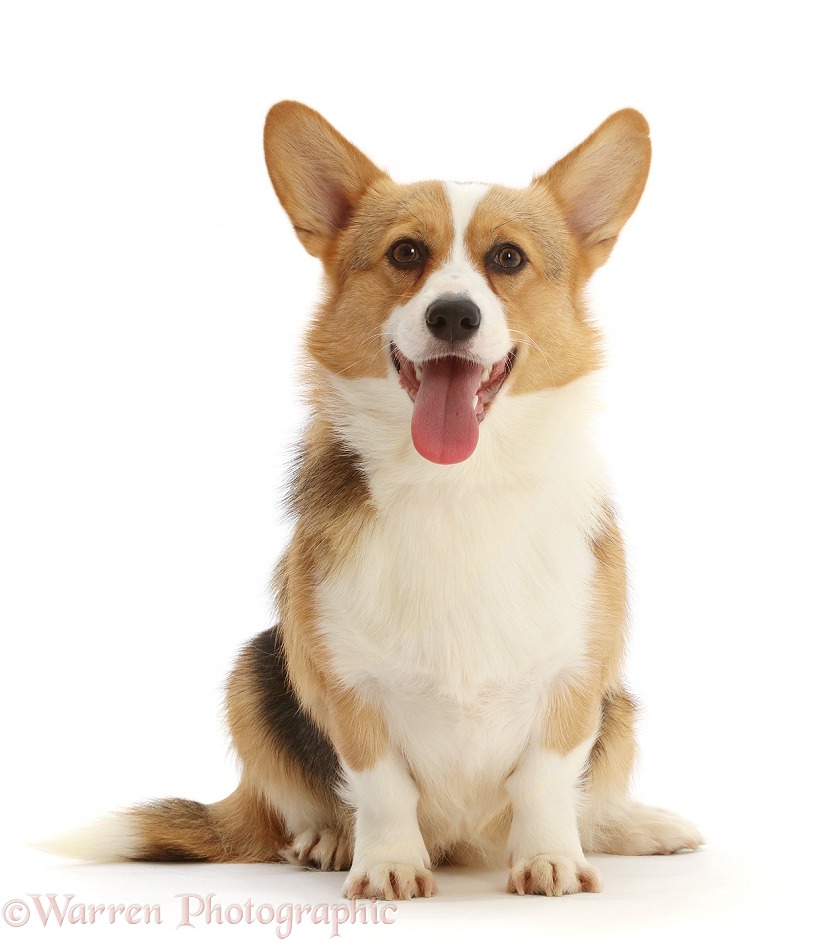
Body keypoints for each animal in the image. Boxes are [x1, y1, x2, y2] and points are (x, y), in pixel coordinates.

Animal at [54, 101, 704, 900]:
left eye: (508, 259)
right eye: (405, 252)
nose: (452, 316)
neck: (456, 484)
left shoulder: (576, 680)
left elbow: (546, 781)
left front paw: (549, 858)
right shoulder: (348, 685)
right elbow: (383, 786)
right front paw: (388, 864)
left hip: (623, 711)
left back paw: (636, 826)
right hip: (253, 672)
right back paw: (329, 841)